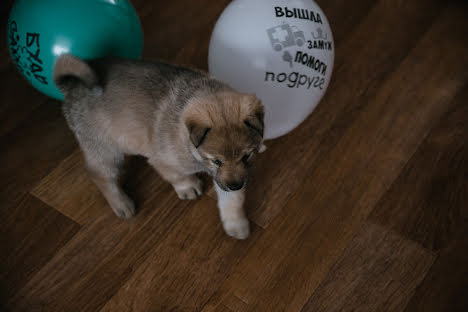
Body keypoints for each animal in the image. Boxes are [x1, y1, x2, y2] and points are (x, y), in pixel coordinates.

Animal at [53, 54, 266, 239]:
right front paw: (188, 187)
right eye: (216, 161)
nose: (236, 185)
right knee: (99, 175)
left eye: (246, 157)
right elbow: (178, 176)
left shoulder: (229, 177)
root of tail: (72, 87)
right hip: (107, 150)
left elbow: (233, 201)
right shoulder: (164, 161)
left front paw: (236, 224)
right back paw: (122, 204)